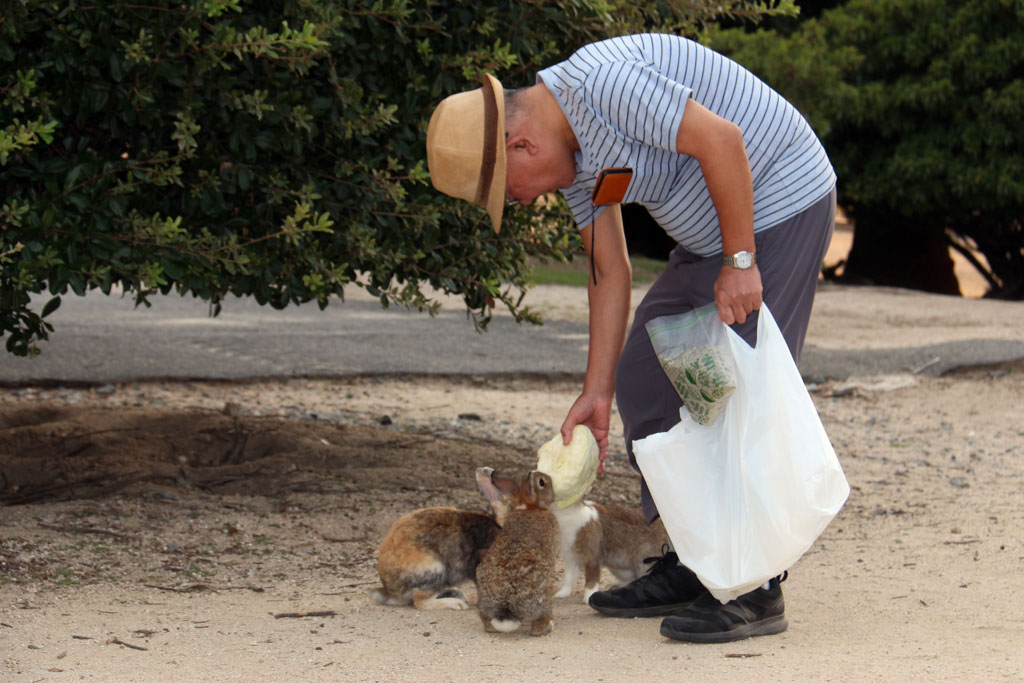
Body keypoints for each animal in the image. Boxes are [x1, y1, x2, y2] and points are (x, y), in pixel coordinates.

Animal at [474, 467, 560, 636]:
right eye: (542, 482)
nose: (550, 480)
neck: (529, 506)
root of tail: (507, 608)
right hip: (545, 592)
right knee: (538, 626)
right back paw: (549, 627)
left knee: (487, 622)